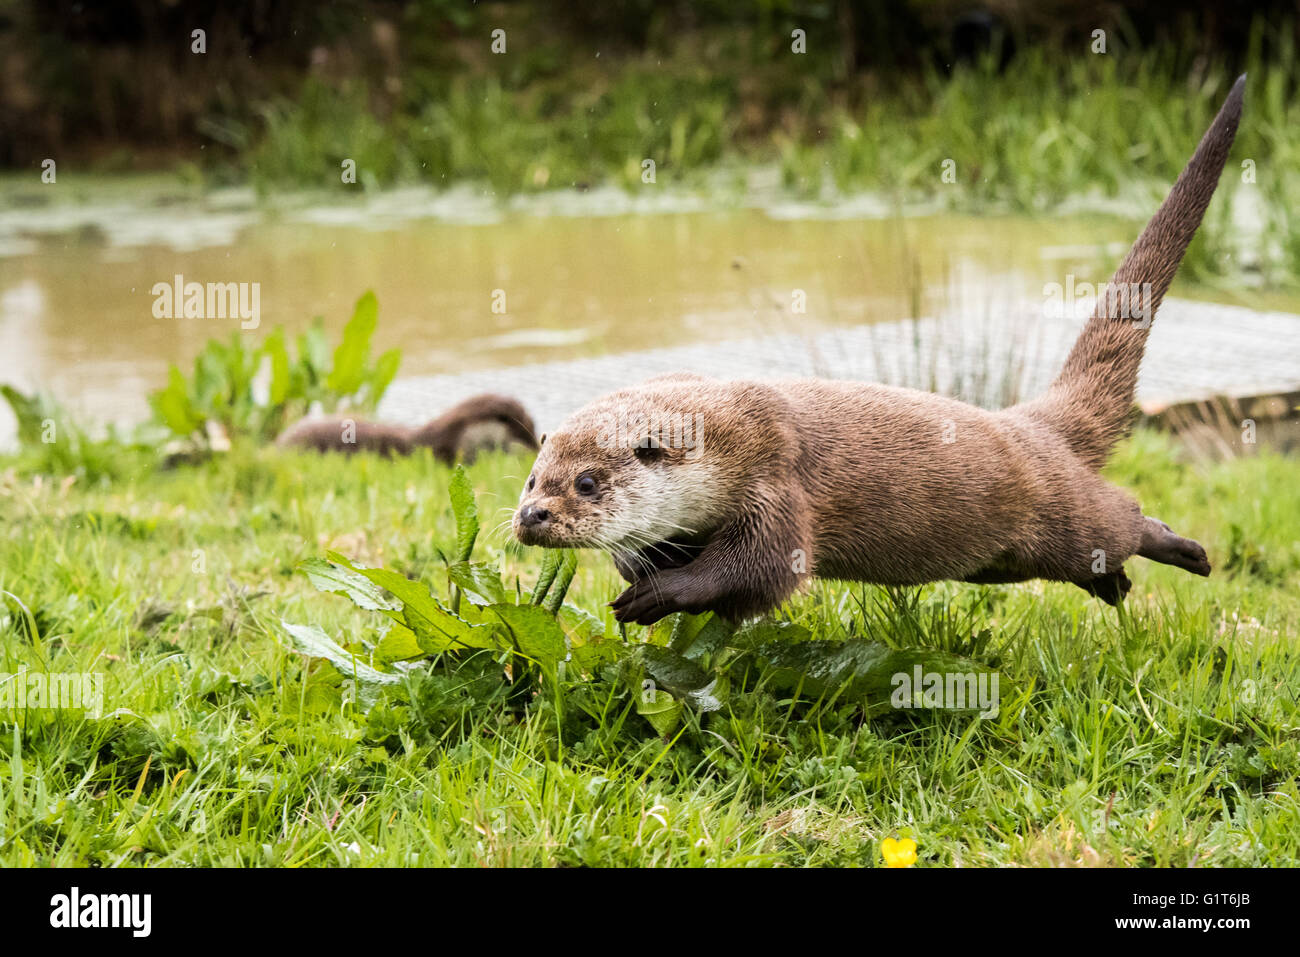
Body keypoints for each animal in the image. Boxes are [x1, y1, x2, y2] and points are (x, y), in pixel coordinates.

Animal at [512, 76, 1242, 629]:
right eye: (532, 477)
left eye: (587, 482)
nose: (531, 516)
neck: (727, 438)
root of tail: (1031, 424)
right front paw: (640, 566)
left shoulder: (777, 485)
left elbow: (760, 572)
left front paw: (659, 594)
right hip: (996, 559)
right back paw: (1114, 588)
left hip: (1062, 512)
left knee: (1120, 517)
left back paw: (1184, 550)